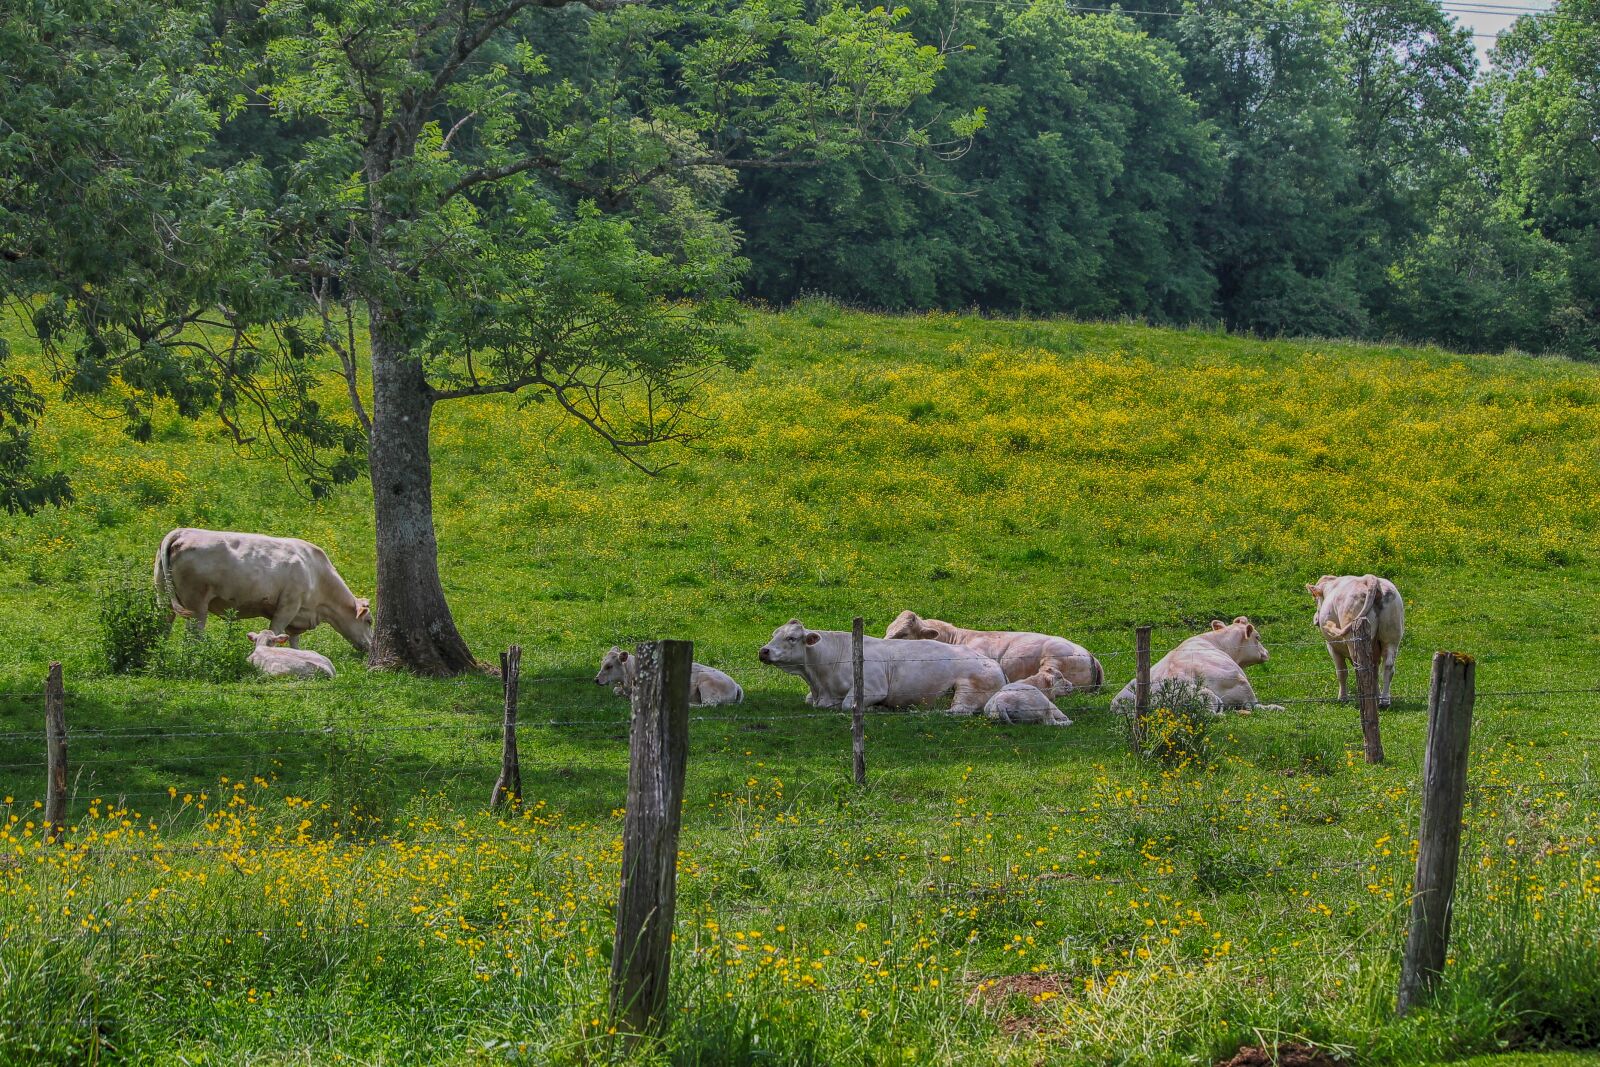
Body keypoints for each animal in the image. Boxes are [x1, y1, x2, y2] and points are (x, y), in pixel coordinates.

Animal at [154, 528, 372, 653]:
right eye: (369, 621)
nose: (371, 646)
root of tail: (182, 532)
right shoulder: (288, 606)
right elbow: (275, 633)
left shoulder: (297, 616)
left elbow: (294, 641)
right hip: (197, 604)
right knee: (193, 634)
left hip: (163, 597)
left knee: (163, 626)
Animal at [593, 646, 744, 706]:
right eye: (602, 663)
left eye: (609, 666)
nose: (596, 680)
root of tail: (736, 684)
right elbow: (615, 690)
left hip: (706, 685)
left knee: (709, 704)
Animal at [758, 618, 1006, 715]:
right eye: (773, 635)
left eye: (791, 638)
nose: (764, 651)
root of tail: (994, 664)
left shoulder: (872, 688)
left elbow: (848, 705)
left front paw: (875, 708)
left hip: (967, 689)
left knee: (957, 710)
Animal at [1306, 574, 1404, 707]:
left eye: (1316, 599)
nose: (1316, 620)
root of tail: (1370, 578)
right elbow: (1375, 672)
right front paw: (1376, 695)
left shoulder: (1332, 647)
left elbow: (1341, 672)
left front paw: (1342, 698)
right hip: (1392, 636)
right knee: (1388, 667)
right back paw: (1384, 700)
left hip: (1353, 640)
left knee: (1361, 668)